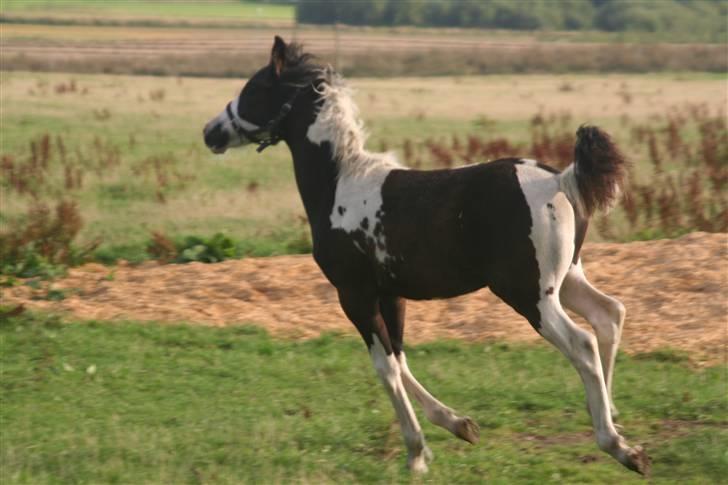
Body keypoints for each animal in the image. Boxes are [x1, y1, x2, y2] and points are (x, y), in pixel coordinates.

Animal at [203, 36, 648, 472]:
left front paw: (416, 453)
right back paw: (613, 417)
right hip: (566, 278)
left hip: (530, 295)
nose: (211, 132)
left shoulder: (355, 294)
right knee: (609, 315)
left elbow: (385, 367)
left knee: (583, 344)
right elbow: (400, 359)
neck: (340, 183)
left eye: (254, 90)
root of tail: (561, 180)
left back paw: (620, 447)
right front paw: (459, 424)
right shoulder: (391, 294)